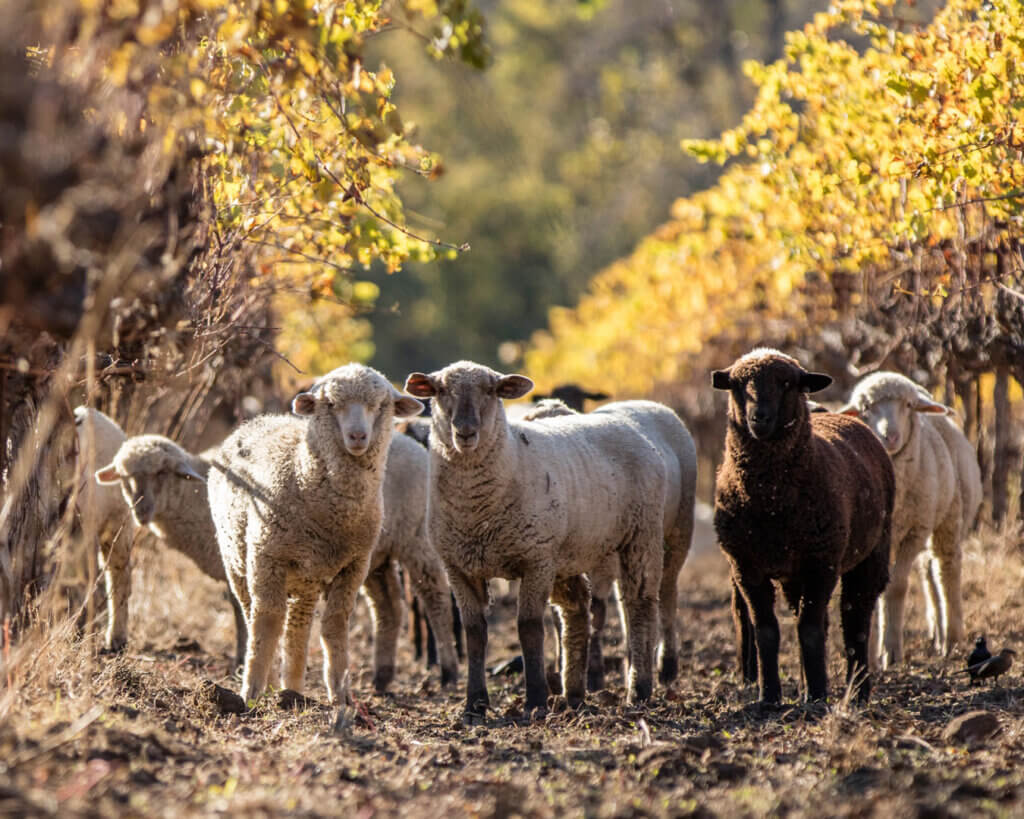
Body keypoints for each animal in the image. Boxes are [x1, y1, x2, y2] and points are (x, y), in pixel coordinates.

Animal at [208, 364, 423, 704]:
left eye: (381, 406)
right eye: (331, 404)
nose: (358, 436)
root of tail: (260, 419)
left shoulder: (355, 565)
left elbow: (335, 623)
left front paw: (341, 693)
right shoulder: (266, 556)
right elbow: (267, 620)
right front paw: (252, 691)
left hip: (307, 573)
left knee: (299, 624)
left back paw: (292, 689)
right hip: (238, 561)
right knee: (253, 613)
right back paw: (271, 685)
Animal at [403, 362, 675, 720]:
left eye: (491, 391)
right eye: (440, 391)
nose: (465, 432)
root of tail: (628, 424)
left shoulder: (534, 560)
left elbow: (529, 628)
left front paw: (534, 702)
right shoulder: (459, 566)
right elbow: (474, 632)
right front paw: (474, 705)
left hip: (639, 534)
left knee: (639, 604)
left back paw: (638, 690)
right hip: (565, 552)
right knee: (576, 610)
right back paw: (573, 694)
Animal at [712, 348, 897, 704]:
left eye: (787, 383)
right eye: (738, 385)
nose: (759, 418)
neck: (770, 504)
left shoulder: (820, 562)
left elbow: (809, 631)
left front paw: (818, 696)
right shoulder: (747, 565)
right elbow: (767, 630)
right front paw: (769, 697)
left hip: (870, 553)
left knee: (855, 620)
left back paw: (858, 691)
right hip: (794, 573)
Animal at [839, 370, 983, 663]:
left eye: (907, 406)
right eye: (865, 408)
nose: (890, 437)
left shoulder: (915, 531)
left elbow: (897, 587)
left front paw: (892, 652)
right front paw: (871, 655)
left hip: (949, 516)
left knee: (946, 568)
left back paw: (951, 637)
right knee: (929, 572)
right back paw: (937, 633)